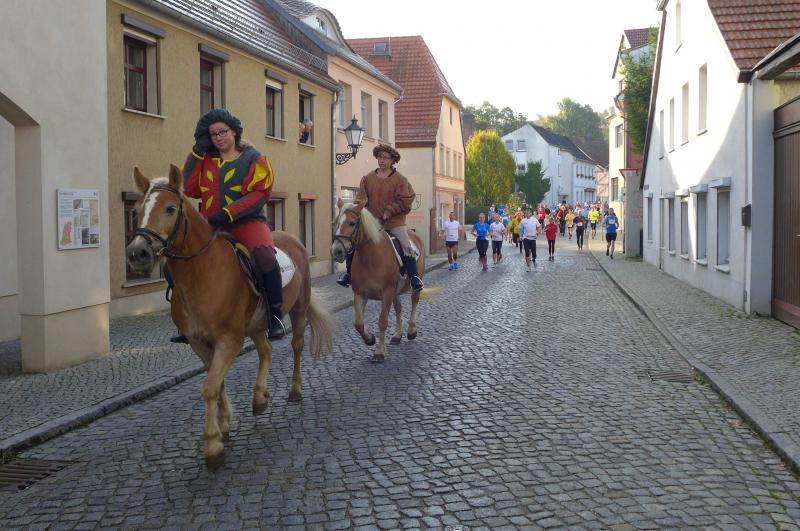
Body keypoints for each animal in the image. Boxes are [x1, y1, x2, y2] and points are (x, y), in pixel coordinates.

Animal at [125, 165, 335, 468]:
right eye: (138, 208)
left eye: (170, 209)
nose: (137, 252)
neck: (201, 273)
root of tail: (293, 239)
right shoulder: (200, 343)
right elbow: (217, 382)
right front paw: (223, 425)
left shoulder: (229, 340)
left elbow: (210, 386)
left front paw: (213, 444)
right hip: (258, 324)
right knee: (266, 350)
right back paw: (259, 397)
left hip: (298, 309)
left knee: (296, 346)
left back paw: (295, 390)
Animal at [330, 198, 439, 362]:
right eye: (336, 222)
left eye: (352, 223)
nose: (336, 251)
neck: (371, 258)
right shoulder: (360, 293)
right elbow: (358, 323)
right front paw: (370, 339)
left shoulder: (387, 292)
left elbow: (382, 321)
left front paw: (379, 351)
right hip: (396, 291)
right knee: (399, 308)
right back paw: (397, 335)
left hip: (414, 283)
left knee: (414, 301)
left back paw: (411, 330)